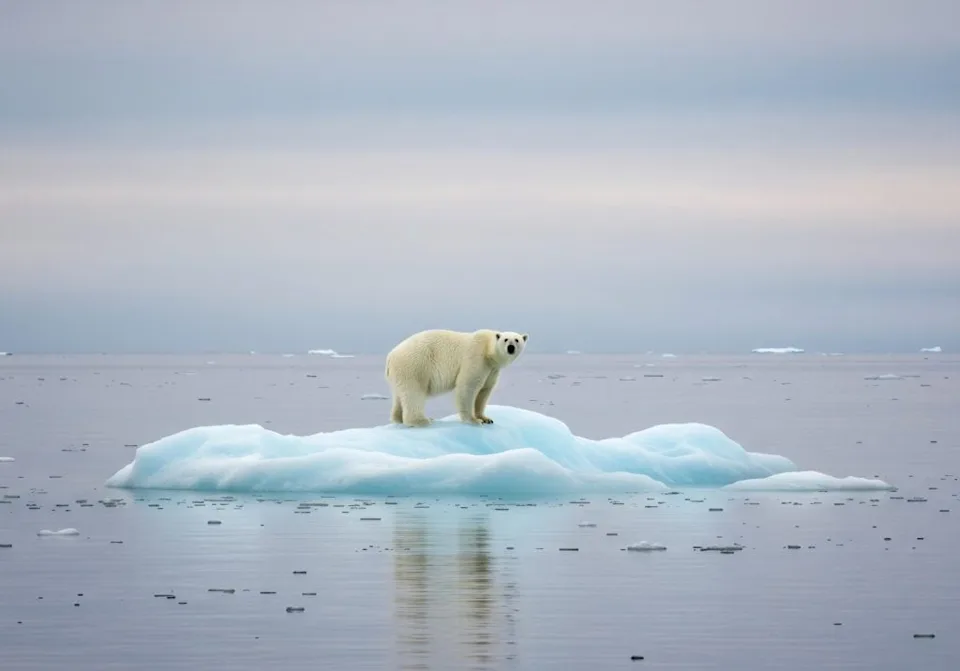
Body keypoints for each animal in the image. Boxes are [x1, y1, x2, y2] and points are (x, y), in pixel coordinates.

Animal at [384, 329, 529, 427]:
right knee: (414, 392)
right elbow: (468, 386)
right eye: (505, 339)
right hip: (415, 365)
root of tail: (390, 355)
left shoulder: (492, 369)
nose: (511, 348)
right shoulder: (476, 358)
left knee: (399, 394)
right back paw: (422, 420)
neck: (488, 350)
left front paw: (486, 418)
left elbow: (484, 391)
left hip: (400, 372)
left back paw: (398, 419)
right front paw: (473, 420)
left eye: (517, 340)